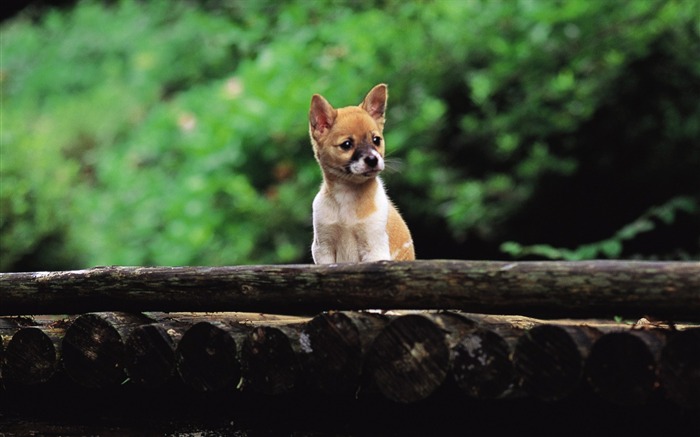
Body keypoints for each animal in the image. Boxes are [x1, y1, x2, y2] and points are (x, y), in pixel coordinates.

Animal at [308, 84, 416, 264]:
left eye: (376, 140)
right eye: (346, 144)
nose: (373, 159)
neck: (347, 194)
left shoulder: (374, 247)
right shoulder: (323, 248)